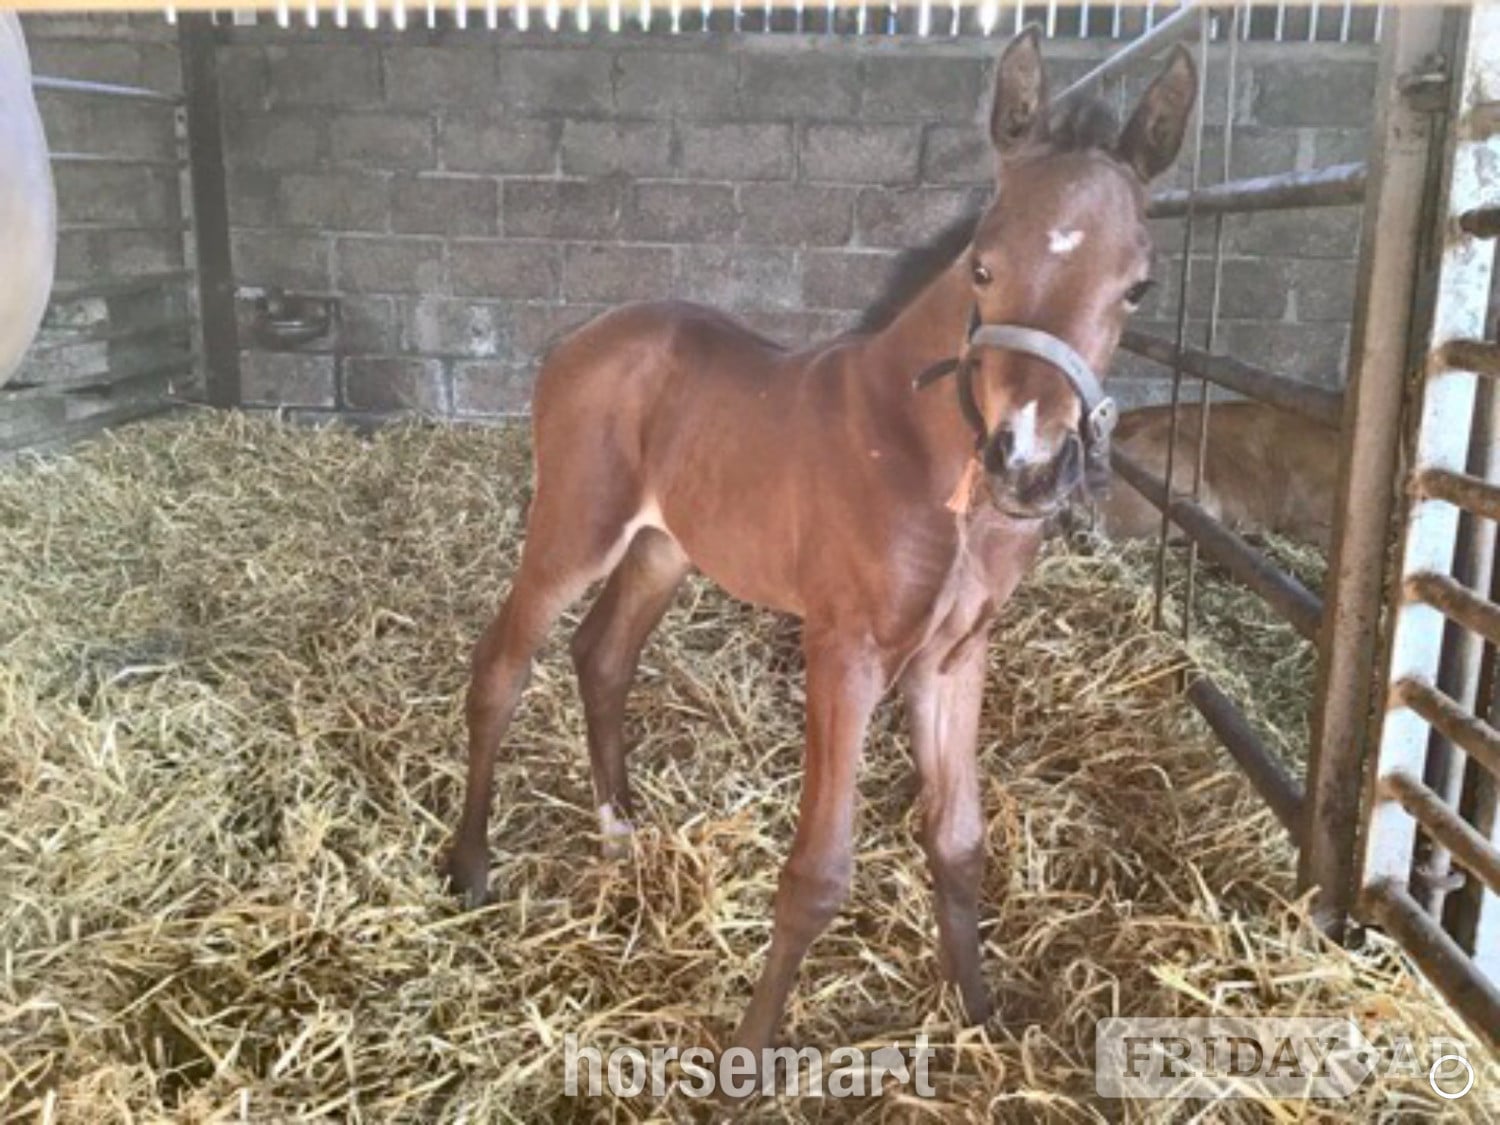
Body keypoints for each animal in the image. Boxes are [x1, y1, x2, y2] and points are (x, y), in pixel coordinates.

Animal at [445, 28, 1198, 1061]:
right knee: (503, 664)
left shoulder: (955, 655)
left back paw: (619, 831)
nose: (1029, 460)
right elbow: (819, 872)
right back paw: (471, 866)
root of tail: (580, 338)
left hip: (664, 545)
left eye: (1139, 288)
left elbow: (959, 838)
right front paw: (750, 1056)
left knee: (601, 655)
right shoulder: (845, 651)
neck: (924, 454)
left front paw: (981, 1015)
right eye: (983, 266)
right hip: (574, 526)